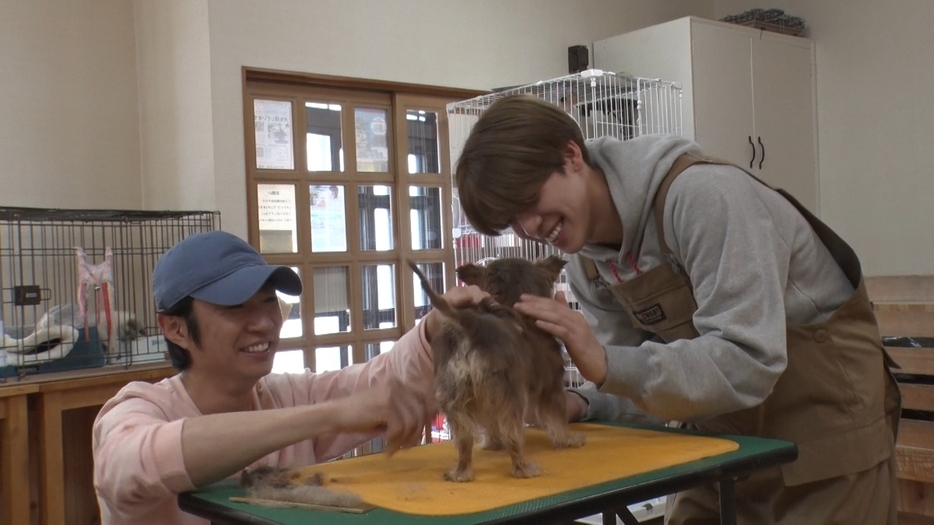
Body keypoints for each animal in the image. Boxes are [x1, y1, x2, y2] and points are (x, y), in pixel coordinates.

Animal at [412, 256, 580, 482]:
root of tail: (471, 325)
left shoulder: (487, 400)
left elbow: (490, 423)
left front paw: (491, 444)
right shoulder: (551, 385)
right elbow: (558, 417)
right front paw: (568, 440)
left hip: (453, 395)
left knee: (464, 438)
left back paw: (461, 473)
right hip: (512, 395)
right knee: (512, 435)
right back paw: (524, 469)